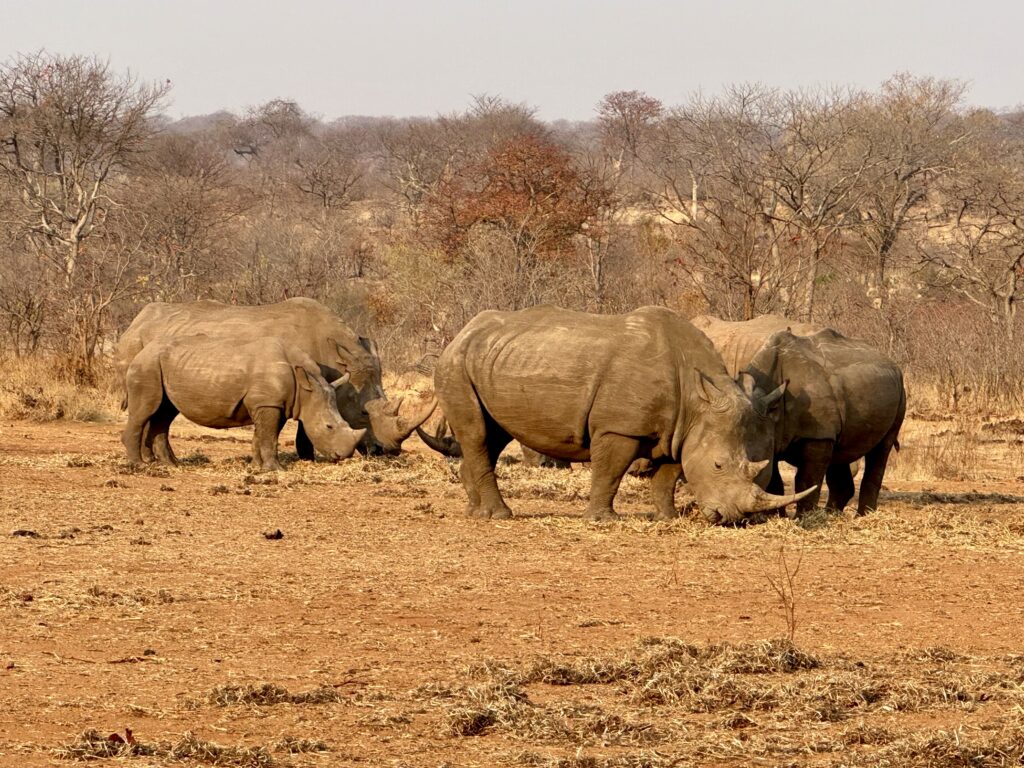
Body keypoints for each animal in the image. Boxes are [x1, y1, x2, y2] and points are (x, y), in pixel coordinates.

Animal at [114, 298, 435, 457]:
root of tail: (135, 321)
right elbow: (303, 425)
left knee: (162, 412)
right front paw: (308, 457)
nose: (387, 452)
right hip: (139, 349)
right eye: (363, 414)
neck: (335, 352)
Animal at [122, 335, 366, 470]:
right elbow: (269, 436)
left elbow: (263, 435)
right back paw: (139, 465)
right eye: (329, 427)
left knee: (165, 413)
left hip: (161, 365)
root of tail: (142, 350)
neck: (306, 387)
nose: (342, 456)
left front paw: (257, 466)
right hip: (147, 365)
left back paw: (171, 465)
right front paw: (277, 469)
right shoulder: (268, 404)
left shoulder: (270, 404)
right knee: (145, 411)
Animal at [434, 305, 814, 523]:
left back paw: (474, 511)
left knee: (492, 436)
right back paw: (499, 516)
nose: (731, 517)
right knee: (478, 435)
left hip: (492, 358)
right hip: (455, 365)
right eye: (718, 466)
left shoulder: (679, 431)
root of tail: (461, 333)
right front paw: (602, 521)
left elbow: (667, 476)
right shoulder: (619, 428)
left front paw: (666, 518)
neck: (697, 400)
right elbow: (610, 471)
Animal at [692, 315, 906, 515]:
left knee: (881, 450)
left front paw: (802, 517)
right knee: (842, 451)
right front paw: (776, 515)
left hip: (899, 389)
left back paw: (861, 516)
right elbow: (774, 482)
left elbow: (807, 480)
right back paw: (831, 515)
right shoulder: (773, 435)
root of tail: (892, 363)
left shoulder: (818, 434)